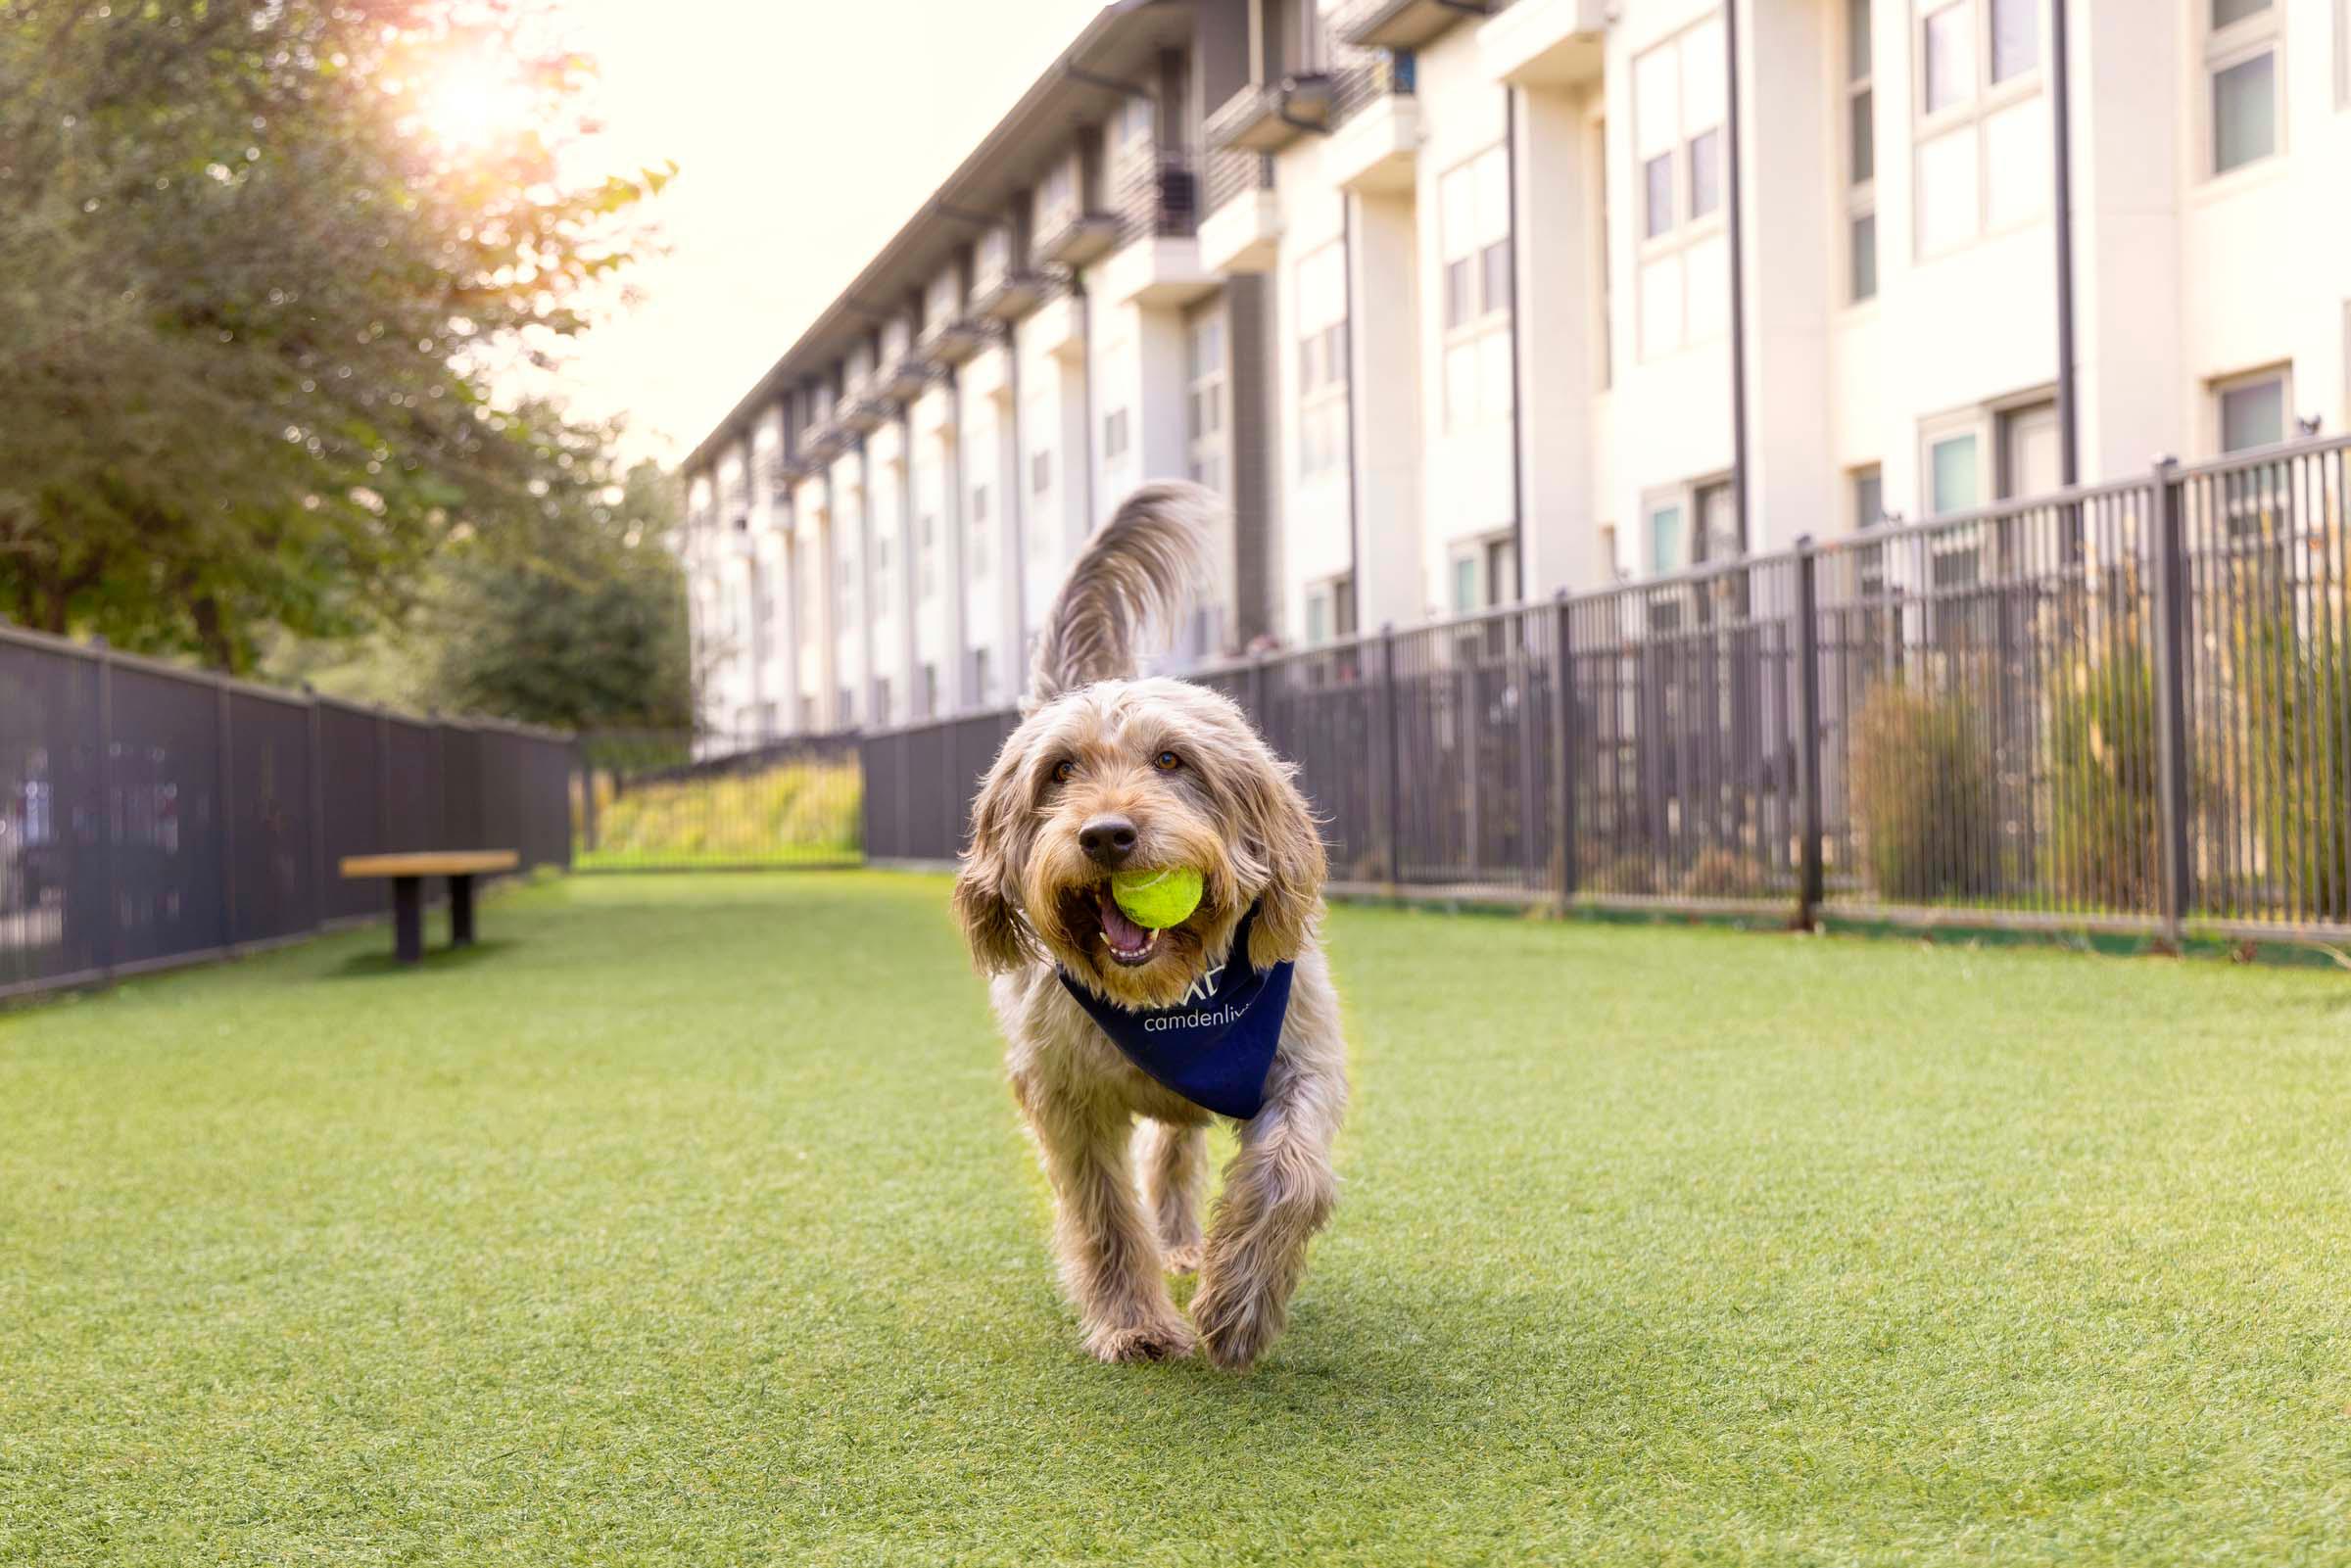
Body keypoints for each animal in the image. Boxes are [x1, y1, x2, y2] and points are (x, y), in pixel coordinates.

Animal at [949, 482, 1354, 1372]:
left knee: (1176, 1147)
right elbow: (1103, 1211)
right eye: (1060, 770)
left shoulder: (1300, 1055)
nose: (1106, 835)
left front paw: (1239, 1305)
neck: (1171, 995)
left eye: (1171, 760)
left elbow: (1292, 1174)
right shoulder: (1063, 1096)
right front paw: (1132, 1321)